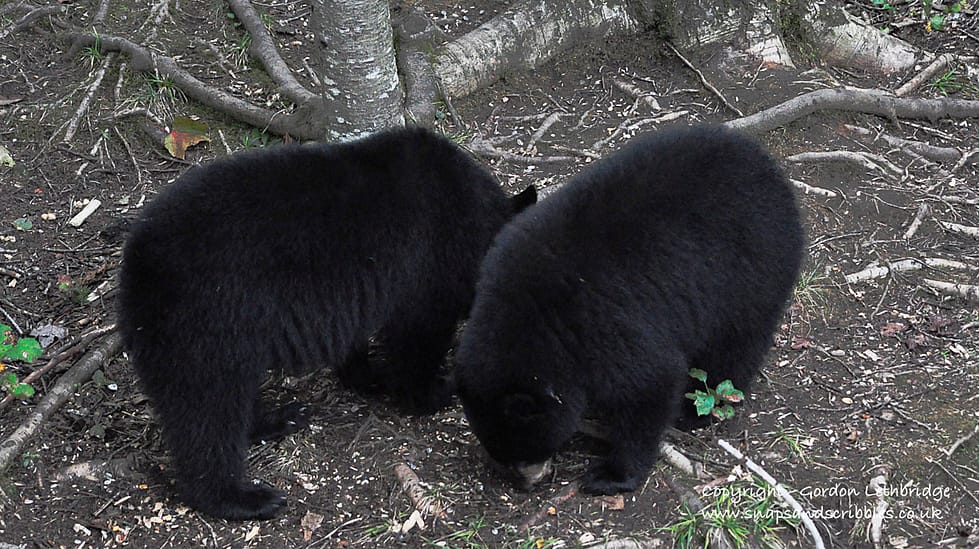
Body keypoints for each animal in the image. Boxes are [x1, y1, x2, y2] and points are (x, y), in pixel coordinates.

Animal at [117, 126, 536, 520]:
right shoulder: (428, 259)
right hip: (207, 318)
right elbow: (416, 334)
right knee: (208, 408)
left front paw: (367, 376)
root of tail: (136, 265)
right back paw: (242, 496)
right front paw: (433, 389)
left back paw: (279, 418)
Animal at [454, 125, 804, 495]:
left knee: (735, 347)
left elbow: (650, 385)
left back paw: (698, 410)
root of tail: (769, 168)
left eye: (526, 447)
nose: (527, 482)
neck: (535, 317)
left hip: (752, 271)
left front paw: (611, 474)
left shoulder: (604, 325)